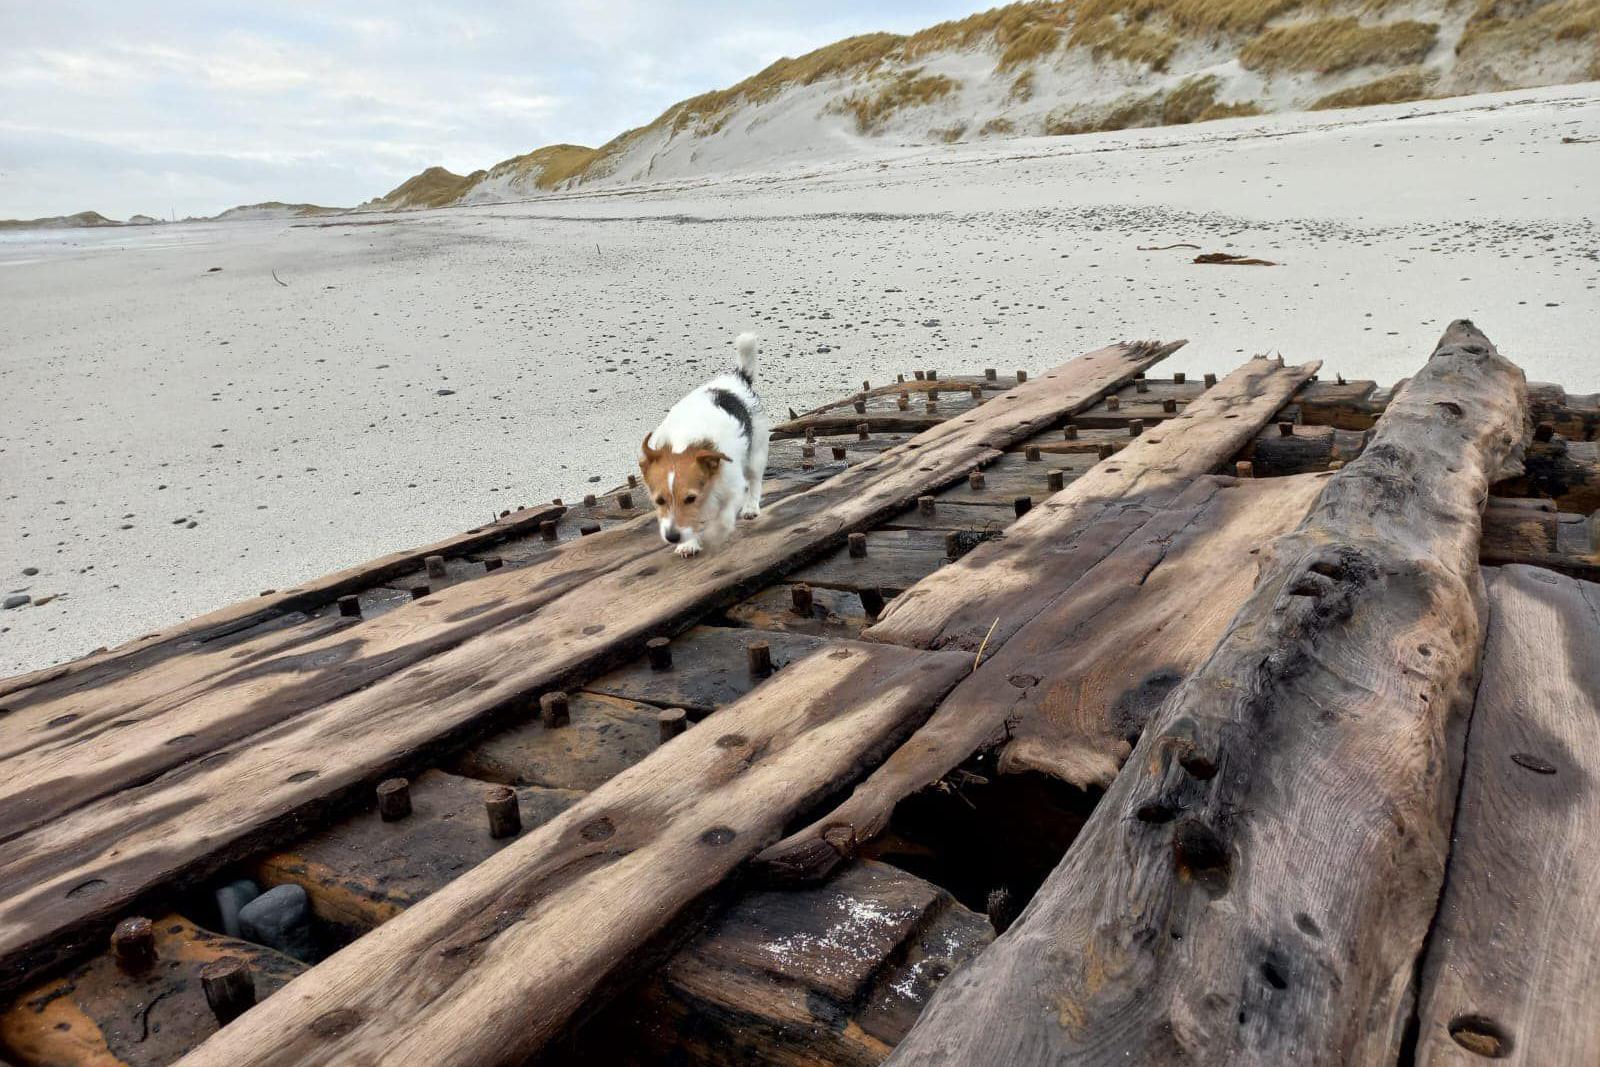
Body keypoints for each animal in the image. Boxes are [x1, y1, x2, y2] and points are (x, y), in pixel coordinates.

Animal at [636, 331, 768, 559]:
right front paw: (688, 543)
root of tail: (738, 379)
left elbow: (723, 519)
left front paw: (713, 536)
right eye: (659, 501)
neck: (684, 441)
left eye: (690, 498)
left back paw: (751, 507)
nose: (672, 537)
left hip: (755, 454)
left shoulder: (733, 488)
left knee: (755, 480)